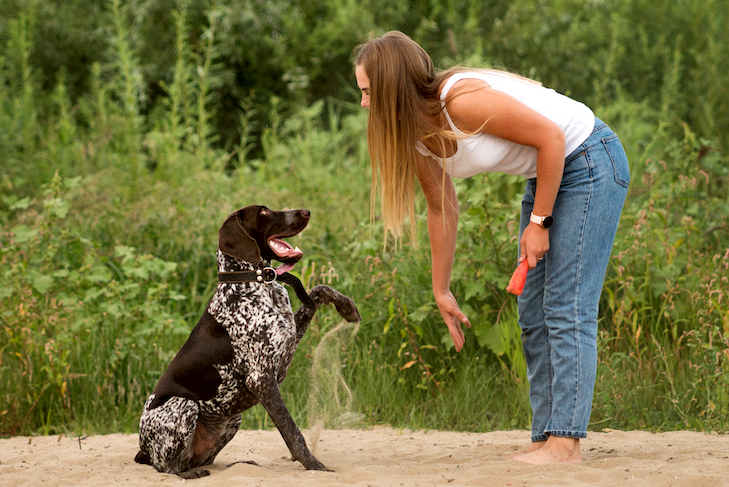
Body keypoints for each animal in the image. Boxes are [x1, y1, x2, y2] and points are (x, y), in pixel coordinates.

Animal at [134, 206, 362, 480]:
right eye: (263, 212)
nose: (305, 211)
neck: (254, 284)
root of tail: (142, 449)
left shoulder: (288, 339)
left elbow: (319, 289)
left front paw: (347, 307)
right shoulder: (261, 378)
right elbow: (292, 431)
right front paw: (315, 466)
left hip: (233, 420)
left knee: (200, 460)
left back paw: (241, 465)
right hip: (183, 406)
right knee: (169, 467)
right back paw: (191, 474)